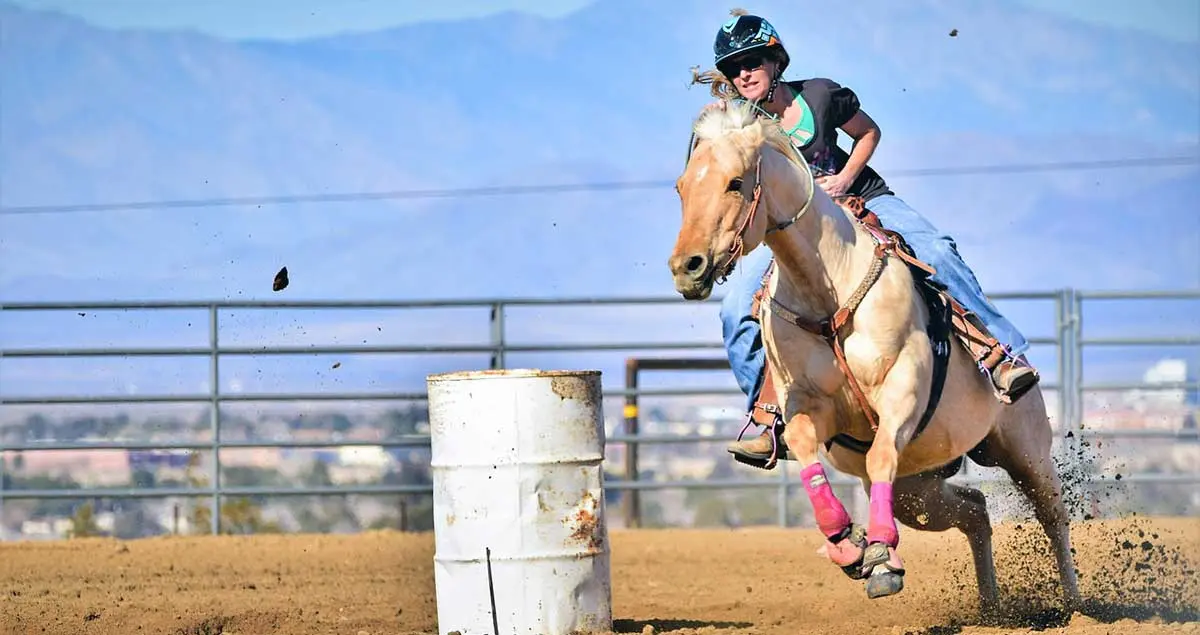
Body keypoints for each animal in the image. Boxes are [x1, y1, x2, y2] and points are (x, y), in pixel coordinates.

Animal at [667, 100, 1080, 619]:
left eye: (735, 182)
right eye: (682, 187)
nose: (687, 267)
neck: (827, 291)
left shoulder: (902, 392)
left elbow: (881, 452)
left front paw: (882, 558)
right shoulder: (809, 407)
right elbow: (805, 451)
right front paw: (848, 544)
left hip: (1025, 449)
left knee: (1053, 514)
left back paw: (1076, 606)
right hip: (919, 488)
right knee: (975, 511)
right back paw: (990, 609)